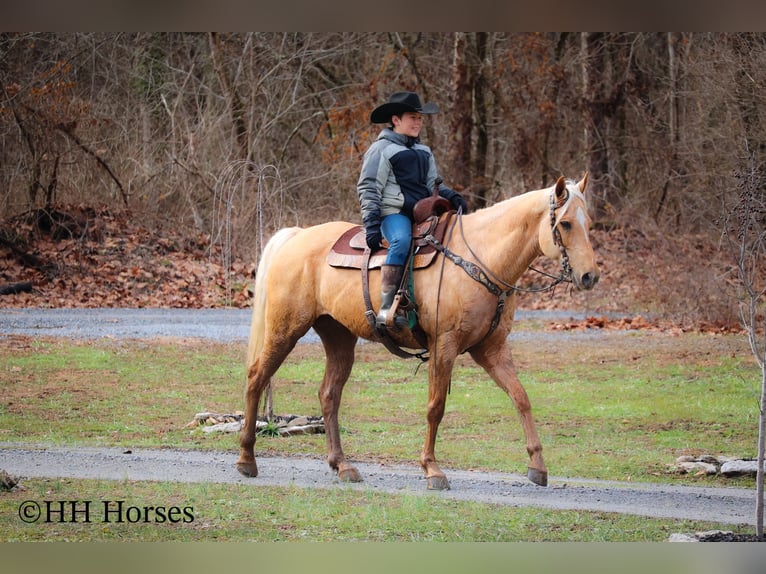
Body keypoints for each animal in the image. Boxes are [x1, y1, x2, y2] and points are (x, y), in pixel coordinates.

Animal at [236, 174, 599, 489]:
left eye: (589, 224)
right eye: (565, 224)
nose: (589, 277)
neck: (480, 258)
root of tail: (296, 236)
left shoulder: (491, 348)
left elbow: (521, 398)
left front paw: (537, 465)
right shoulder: (444, 345)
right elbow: (435, 406)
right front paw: (432, 469)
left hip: (338, 336)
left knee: (329, 394)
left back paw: (342, 465)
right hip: (285, 330)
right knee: (256, 378)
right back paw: (246, 459)